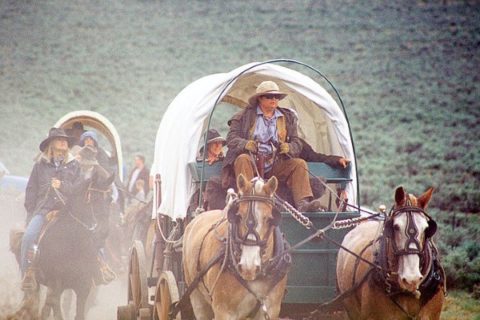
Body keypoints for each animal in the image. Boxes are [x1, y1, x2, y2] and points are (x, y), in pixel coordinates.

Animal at [183, 175, 288, 320]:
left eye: (269, 219)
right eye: (238, 216)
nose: (248, 267)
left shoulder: (271, 310)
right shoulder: (223, 311)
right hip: (196, 295)